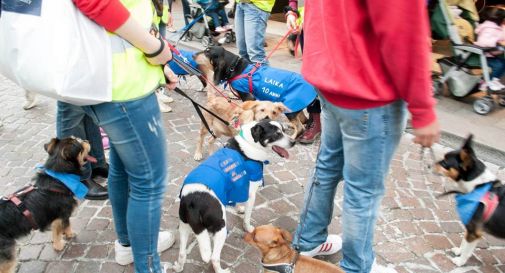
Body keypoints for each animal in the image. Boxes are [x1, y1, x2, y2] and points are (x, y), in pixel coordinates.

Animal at [0, 137, 92, 272]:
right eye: (80, 145)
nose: (86, 140)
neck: (59, 178)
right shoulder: (62, 214)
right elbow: (65, 227)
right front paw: (63, 242)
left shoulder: (56, 218)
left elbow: (57, 230)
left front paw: (60, 239)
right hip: (7, 257)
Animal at [171, 119, 294, 272]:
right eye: (277, 134)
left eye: (284, 130)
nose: (294, 142)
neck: (249, 144)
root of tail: (193, 200)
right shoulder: (251, 193)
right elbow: (247, 216)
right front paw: (248, 227)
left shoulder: (236, 186)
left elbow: (236, 200)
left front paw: (239, 208)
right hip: (220, 228)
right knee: (213, 257)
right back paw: (222, 270)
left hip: (184, 226)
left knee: (182, 253)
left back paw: (178, 267)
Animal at [434, 134, 504, 266]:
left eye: (445, 163)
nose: (428, 165)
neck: (477, 185)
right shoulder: (470, 226)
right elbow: (464, 243)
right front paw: (458, 251)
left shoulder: (474, 232)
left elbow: (467, 249)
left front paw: (460, 261)